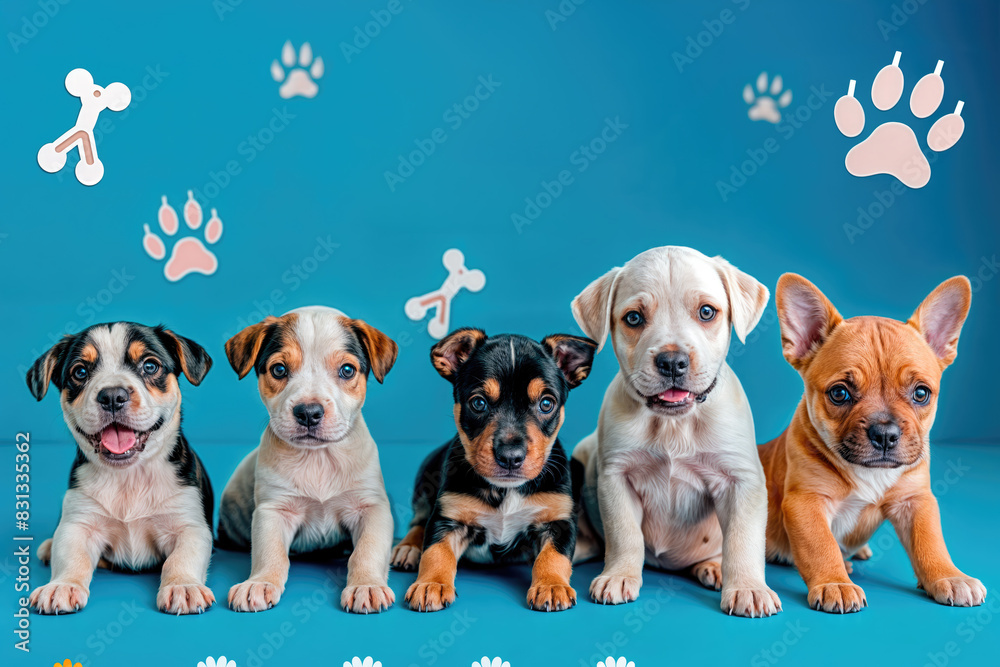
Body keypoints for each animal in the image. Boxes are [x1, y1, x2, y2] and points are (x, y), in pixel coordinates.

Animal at [26, 322, 215, 616]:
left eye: (150, 366)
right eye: (80, 372)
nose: (113, 396)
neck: (129, 475)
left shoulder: (190, 525)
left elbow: (182, 558)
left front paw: (183, 586)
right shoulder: (78, 524)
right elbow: (71, 556)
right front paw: (62, 585)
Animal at [221, 308, 400, 616]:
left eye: (347, 370)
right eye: (279, 370)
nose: (308, 413)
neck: (319, 458)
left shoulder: (371, 509)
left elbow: (368, 550)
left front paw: (366, 585)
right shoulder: (273, 511)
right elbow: (270, 552)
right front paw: (259, 582)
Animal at [388, 326, 592, 612]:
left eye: (546, 404)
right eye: (478, 403)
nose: (510, 457)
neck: (506, 491)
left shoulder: (558, 521)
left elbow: (554, 555)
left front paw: (551, 586)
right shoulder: (448, 517)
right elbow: (436, 551)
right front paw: (431, 584)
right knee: (419, 521)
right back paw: (408, 548)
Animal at [572, 248, 780, 620]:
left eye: (707, 312)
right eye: (634, 318)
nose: (672, 362)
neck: (673, 423)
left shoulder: (743, 482)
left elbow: (742, 539)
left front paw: (749, 588)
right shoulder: (615, 477)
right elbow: (625, 534)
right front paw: (619, 575)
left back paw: (714, 567)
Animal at [756, 274, 984, 612]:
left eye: (921, 393)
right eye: (839, 393)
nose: (885, 433)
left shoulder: (916, 501)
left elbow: (929, 541)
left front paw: (950, 576)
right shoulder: (806, 502)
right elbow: (820, 545)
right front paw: (835, 583)